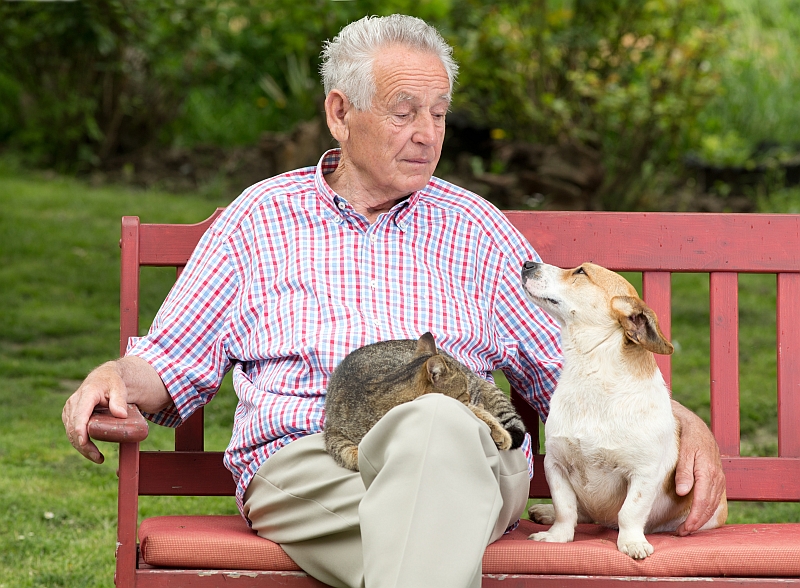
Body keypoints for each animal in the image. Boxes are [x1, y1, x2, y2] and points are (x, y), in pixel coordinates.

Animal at [520, 260, 724, 560]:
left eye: (581, 272)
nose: (527, 263)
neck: (591, 373)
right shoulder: (555, 465)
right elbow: (565, 508)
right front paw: (557, 537)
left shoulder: (643, 474)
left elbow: (630, 512)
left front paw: (631, 543)